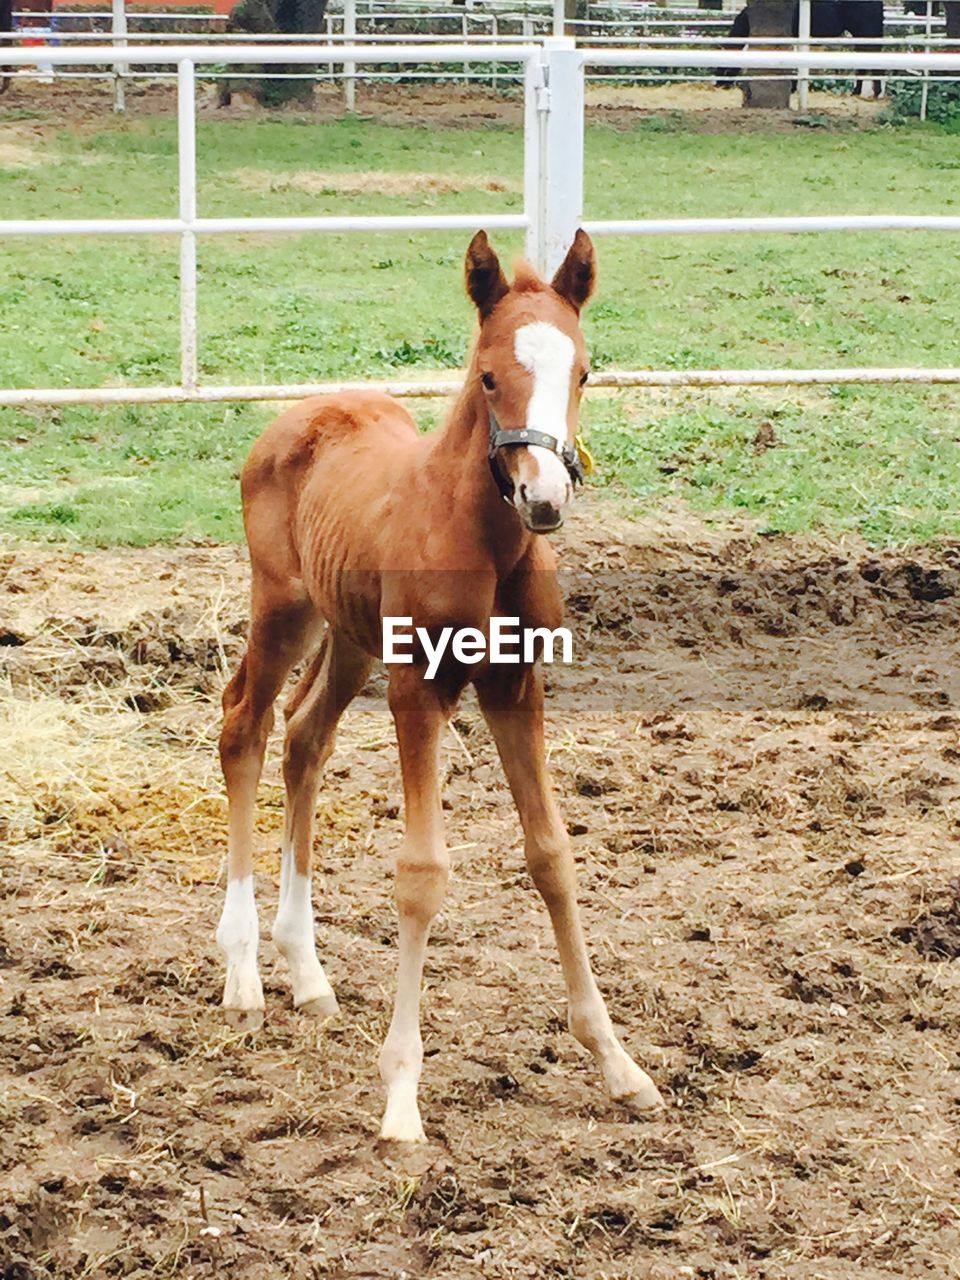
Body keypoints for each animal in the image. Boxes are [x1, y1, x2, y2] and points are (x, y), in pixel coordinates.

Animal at [218, 230, 665, 1141]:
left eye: (584, 372)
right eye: (488, 376)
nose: (543, 499)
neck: (485, 540)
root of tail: (298, 413)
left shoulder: (515, 687)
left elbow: (552, 854)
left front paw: (618, 1064)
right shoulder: (417, 689)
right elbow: (422, 874)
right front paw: (400, 1098)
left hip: (352, 635)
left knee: (304, 737)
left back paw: (306, 973)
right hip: (284, 607)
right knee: (244, 724)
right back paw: (243, 975)